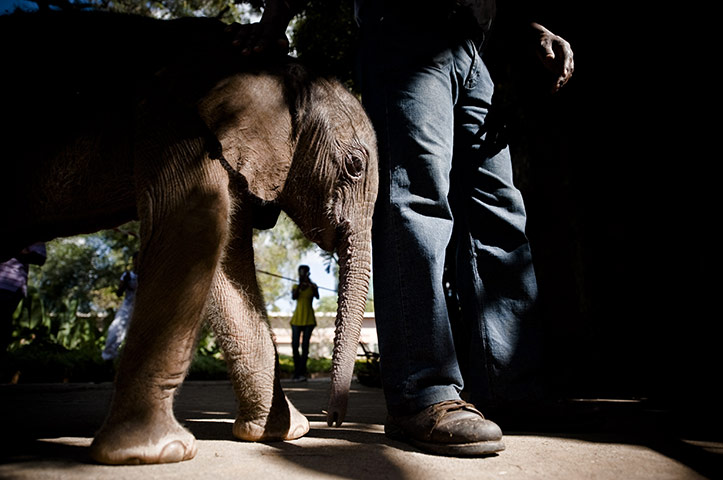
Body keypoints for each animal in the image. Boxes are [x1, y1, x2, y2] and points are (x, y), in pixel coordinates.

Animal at [0, 10, 378, 465]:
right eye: (354, 166)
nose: (333, 420)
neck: (280, 74)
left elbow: (228, 261)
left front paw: (282, 433)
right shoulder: (174, 119)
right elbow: (197, 223)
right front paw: (157, 451)